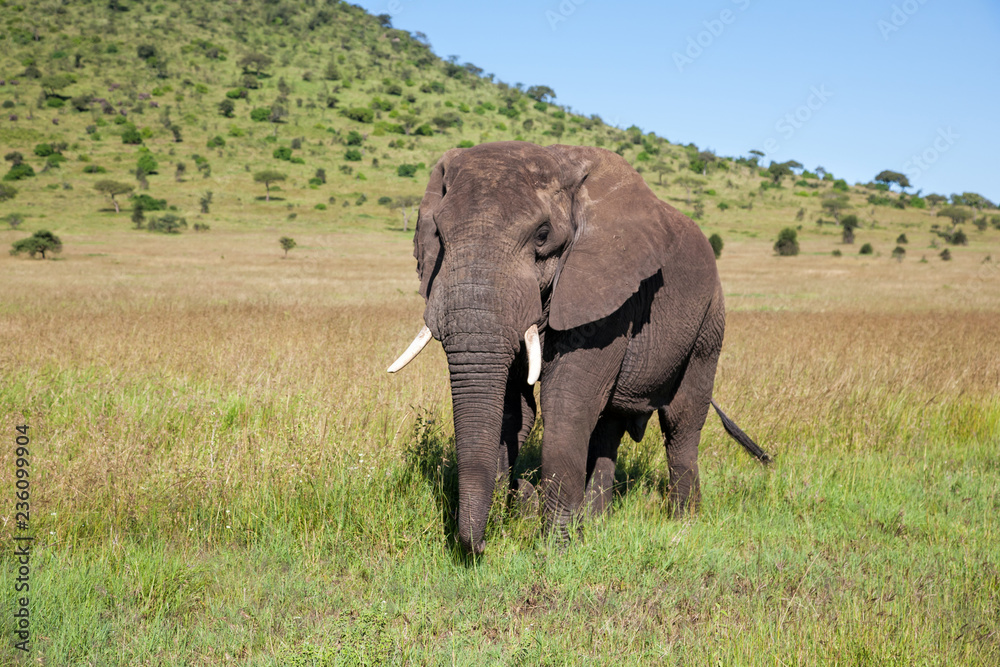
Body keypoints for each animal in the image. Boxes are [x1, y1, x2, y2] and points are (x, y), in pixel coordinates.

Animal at [386, 142, 768, 560]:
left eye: (542, 235)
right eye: (438, 232)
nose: (482, 546)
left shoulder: (608, 294)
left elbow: (567, 400)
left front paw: (556, 549)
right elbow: (515, 410)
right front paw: (525, 517)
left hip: (708, 320)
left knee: (682, 420)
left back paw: (683, 521)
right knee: (608, 428)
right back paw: (599, 519)